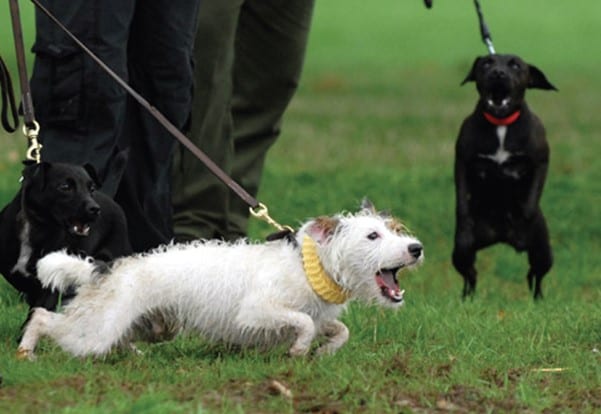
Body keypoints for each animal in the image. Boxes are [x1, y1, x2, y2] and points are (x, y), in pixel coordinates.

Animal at [18, 201, 422, 360]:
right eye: (373, 236)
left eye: (395, 230)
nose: (416, 248)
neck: (311, 268)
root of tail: (105, 269)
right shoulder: (256, 311)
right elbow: (303, 323)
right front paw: (299, 349)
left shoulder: (321, 314)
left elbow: (338, 330)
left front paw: (323, 351)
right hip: (95, 331)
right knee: (43, 317)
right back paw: (26, 352)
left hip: (151, 326)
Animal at [452, 54, 556, 300]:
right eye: (486, 63)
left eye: (516, 65)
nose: (498, 73)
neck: (501, 124)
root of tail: (499, 236)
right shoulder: (462, 161)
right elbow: (462, 202)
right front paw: (464, 223)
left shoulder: (541, 161)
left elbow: (530, 201)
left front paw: (524, 220)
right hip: (460, 256)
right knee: (470, 275)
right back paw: (467, 299)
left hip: (543, 253)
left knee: (536, 275)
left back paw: (538, 300)